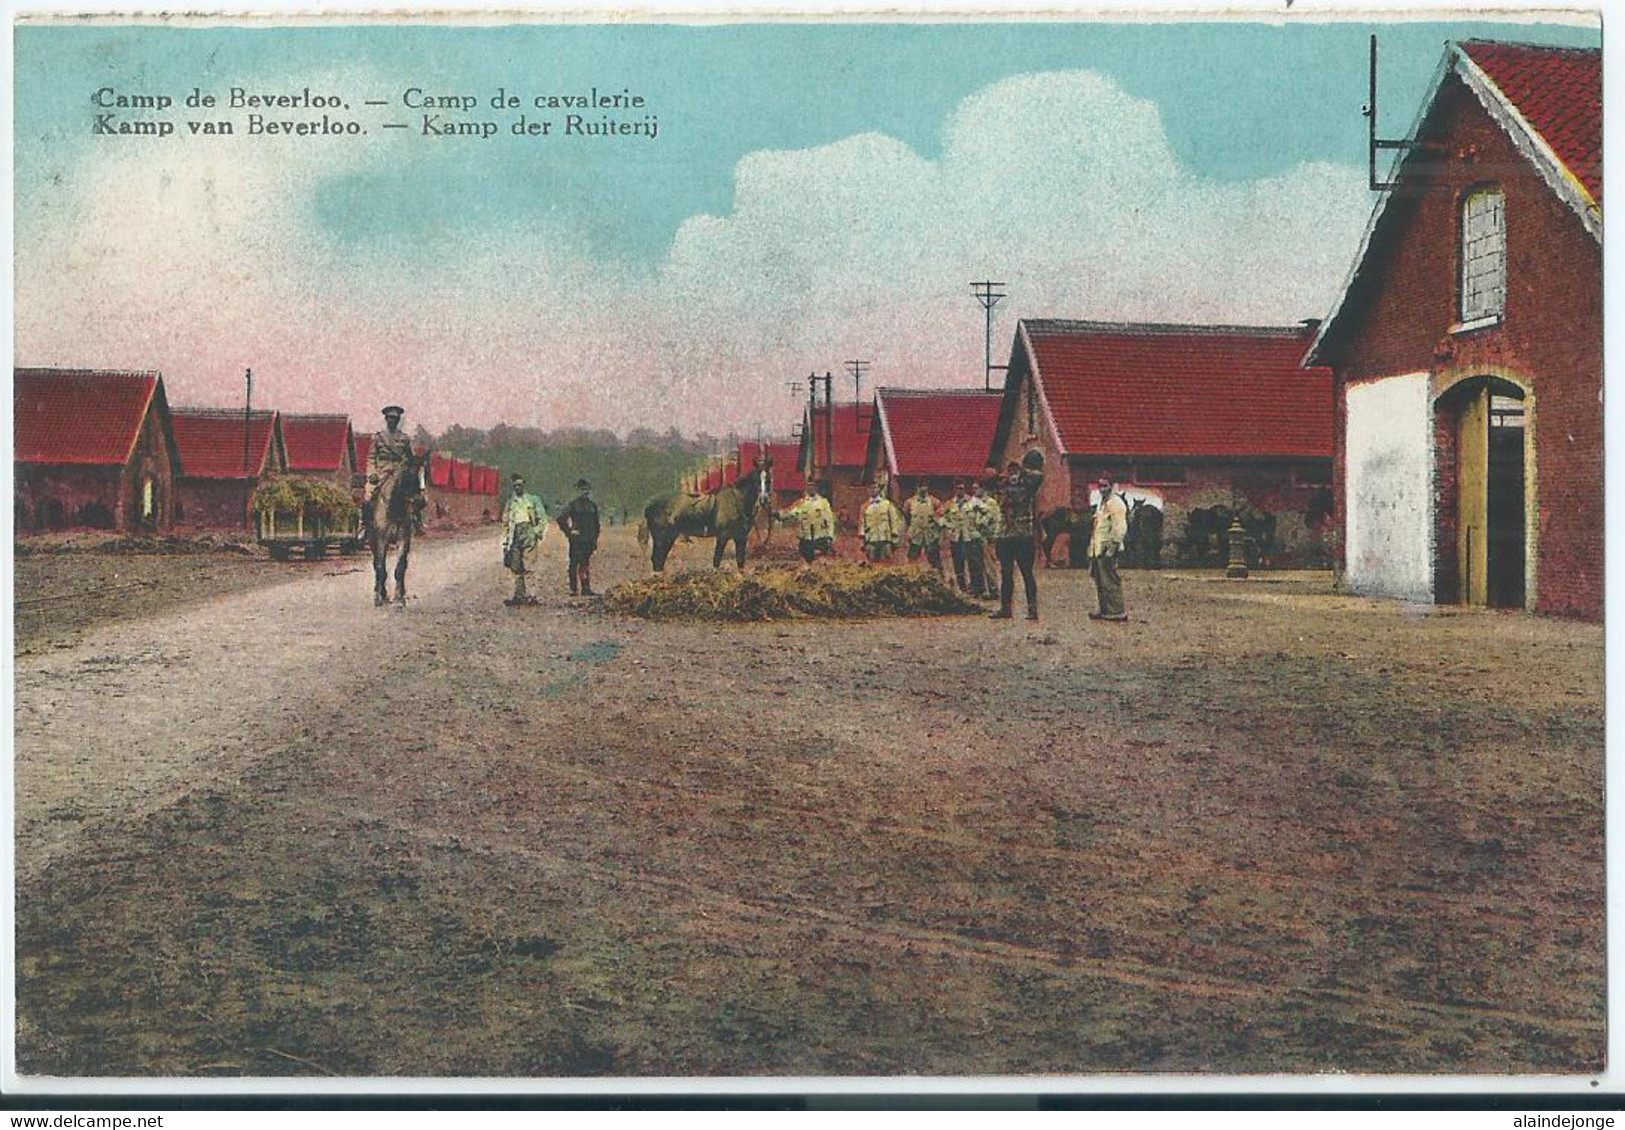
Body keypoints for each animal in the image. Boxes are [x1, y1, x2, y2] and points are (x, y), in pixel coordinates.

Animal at [365, 445, 432, 604]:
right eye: (410, 473)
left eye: (426, 474)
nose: (421, 501)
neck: (394, 507)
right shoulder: (380, 541)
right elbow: (380, 567)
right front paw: (380, 597)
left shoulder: (403, 540)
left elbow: (400, 568)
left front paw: (398, 598)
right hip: (372, 542)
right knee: (376, 565)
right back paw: (379, 592)